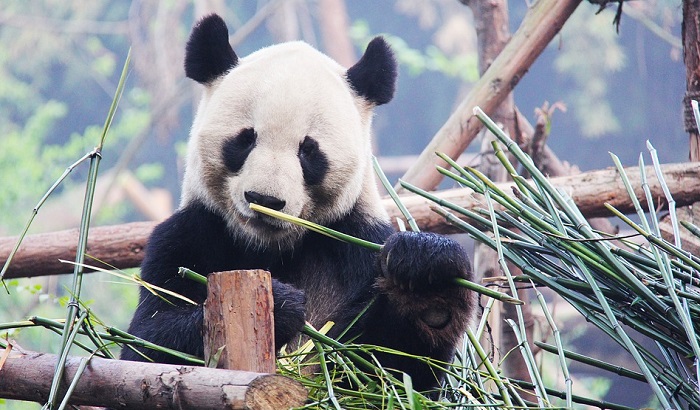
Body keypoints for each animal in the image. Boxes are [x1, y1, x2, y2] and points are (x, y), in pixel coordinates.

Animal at [123, 13, 478, 394]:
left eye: (308, 150)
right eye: (245, 139)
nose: (264, 199)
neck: (270, 248)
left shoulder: (357, 240)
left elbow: (392, 372)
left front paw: (426, 278)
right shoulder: (187, 235)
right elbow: (145, 346)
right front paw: (280, 305)